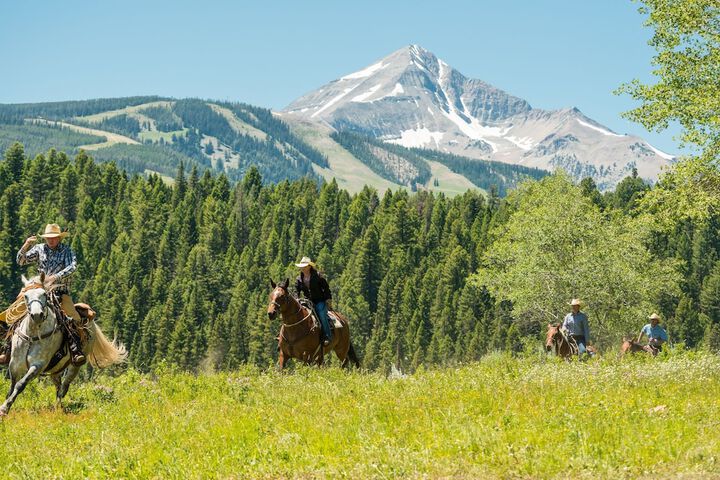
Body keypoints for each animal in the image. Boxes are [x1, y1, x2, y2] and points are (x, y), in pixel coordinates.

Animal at [0, 274, 126, 416]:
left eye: (44, 294)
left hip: (74, 366)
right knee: (58, 385)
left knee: (64, 387)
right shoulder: (14, 364)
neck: (32, 336)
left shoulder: (38, 365)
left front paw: (4, 408)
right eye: (25, 295)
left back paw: (58, 409)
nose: (37, 315)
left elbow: (20, 384)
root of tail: (91, 323)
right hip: (55, 369)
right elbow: (12, 386)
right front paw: (6, 405)